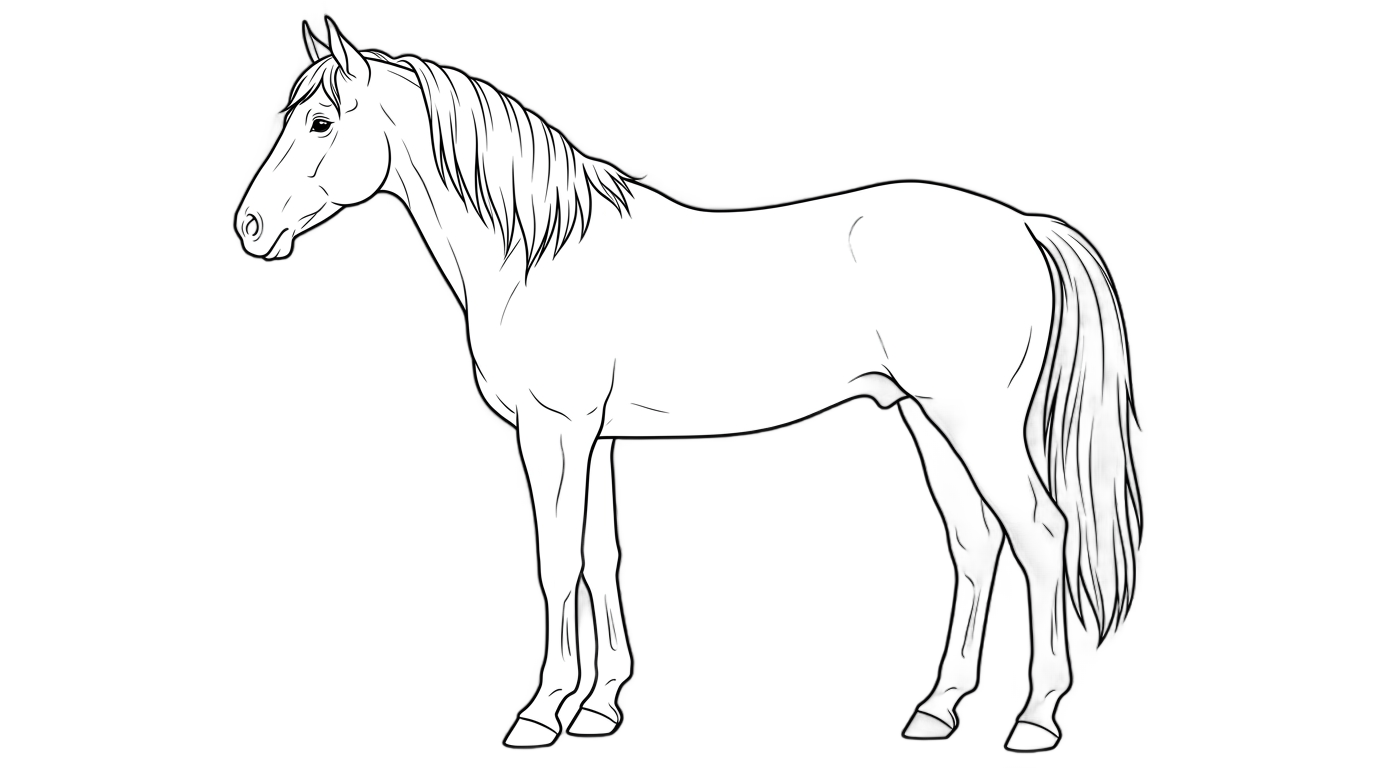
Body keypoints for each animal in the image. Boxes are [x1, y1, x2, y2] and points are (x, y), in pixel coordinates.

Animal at [233, 19, 1144, 755]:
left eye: (321, 122)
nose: (250, 226)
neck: (540, 252)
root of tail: (1022, 224)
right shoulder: (593, 437)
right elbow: (602, 559)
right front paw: (597, 707)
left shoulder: (554, 431)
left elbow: (557, 563)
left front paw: (539, 716)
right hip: (928, 417)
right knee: (976, 540)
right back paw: (938, 708)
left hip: (975, 421)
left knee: (1042, 533)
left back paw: (1036, 721)